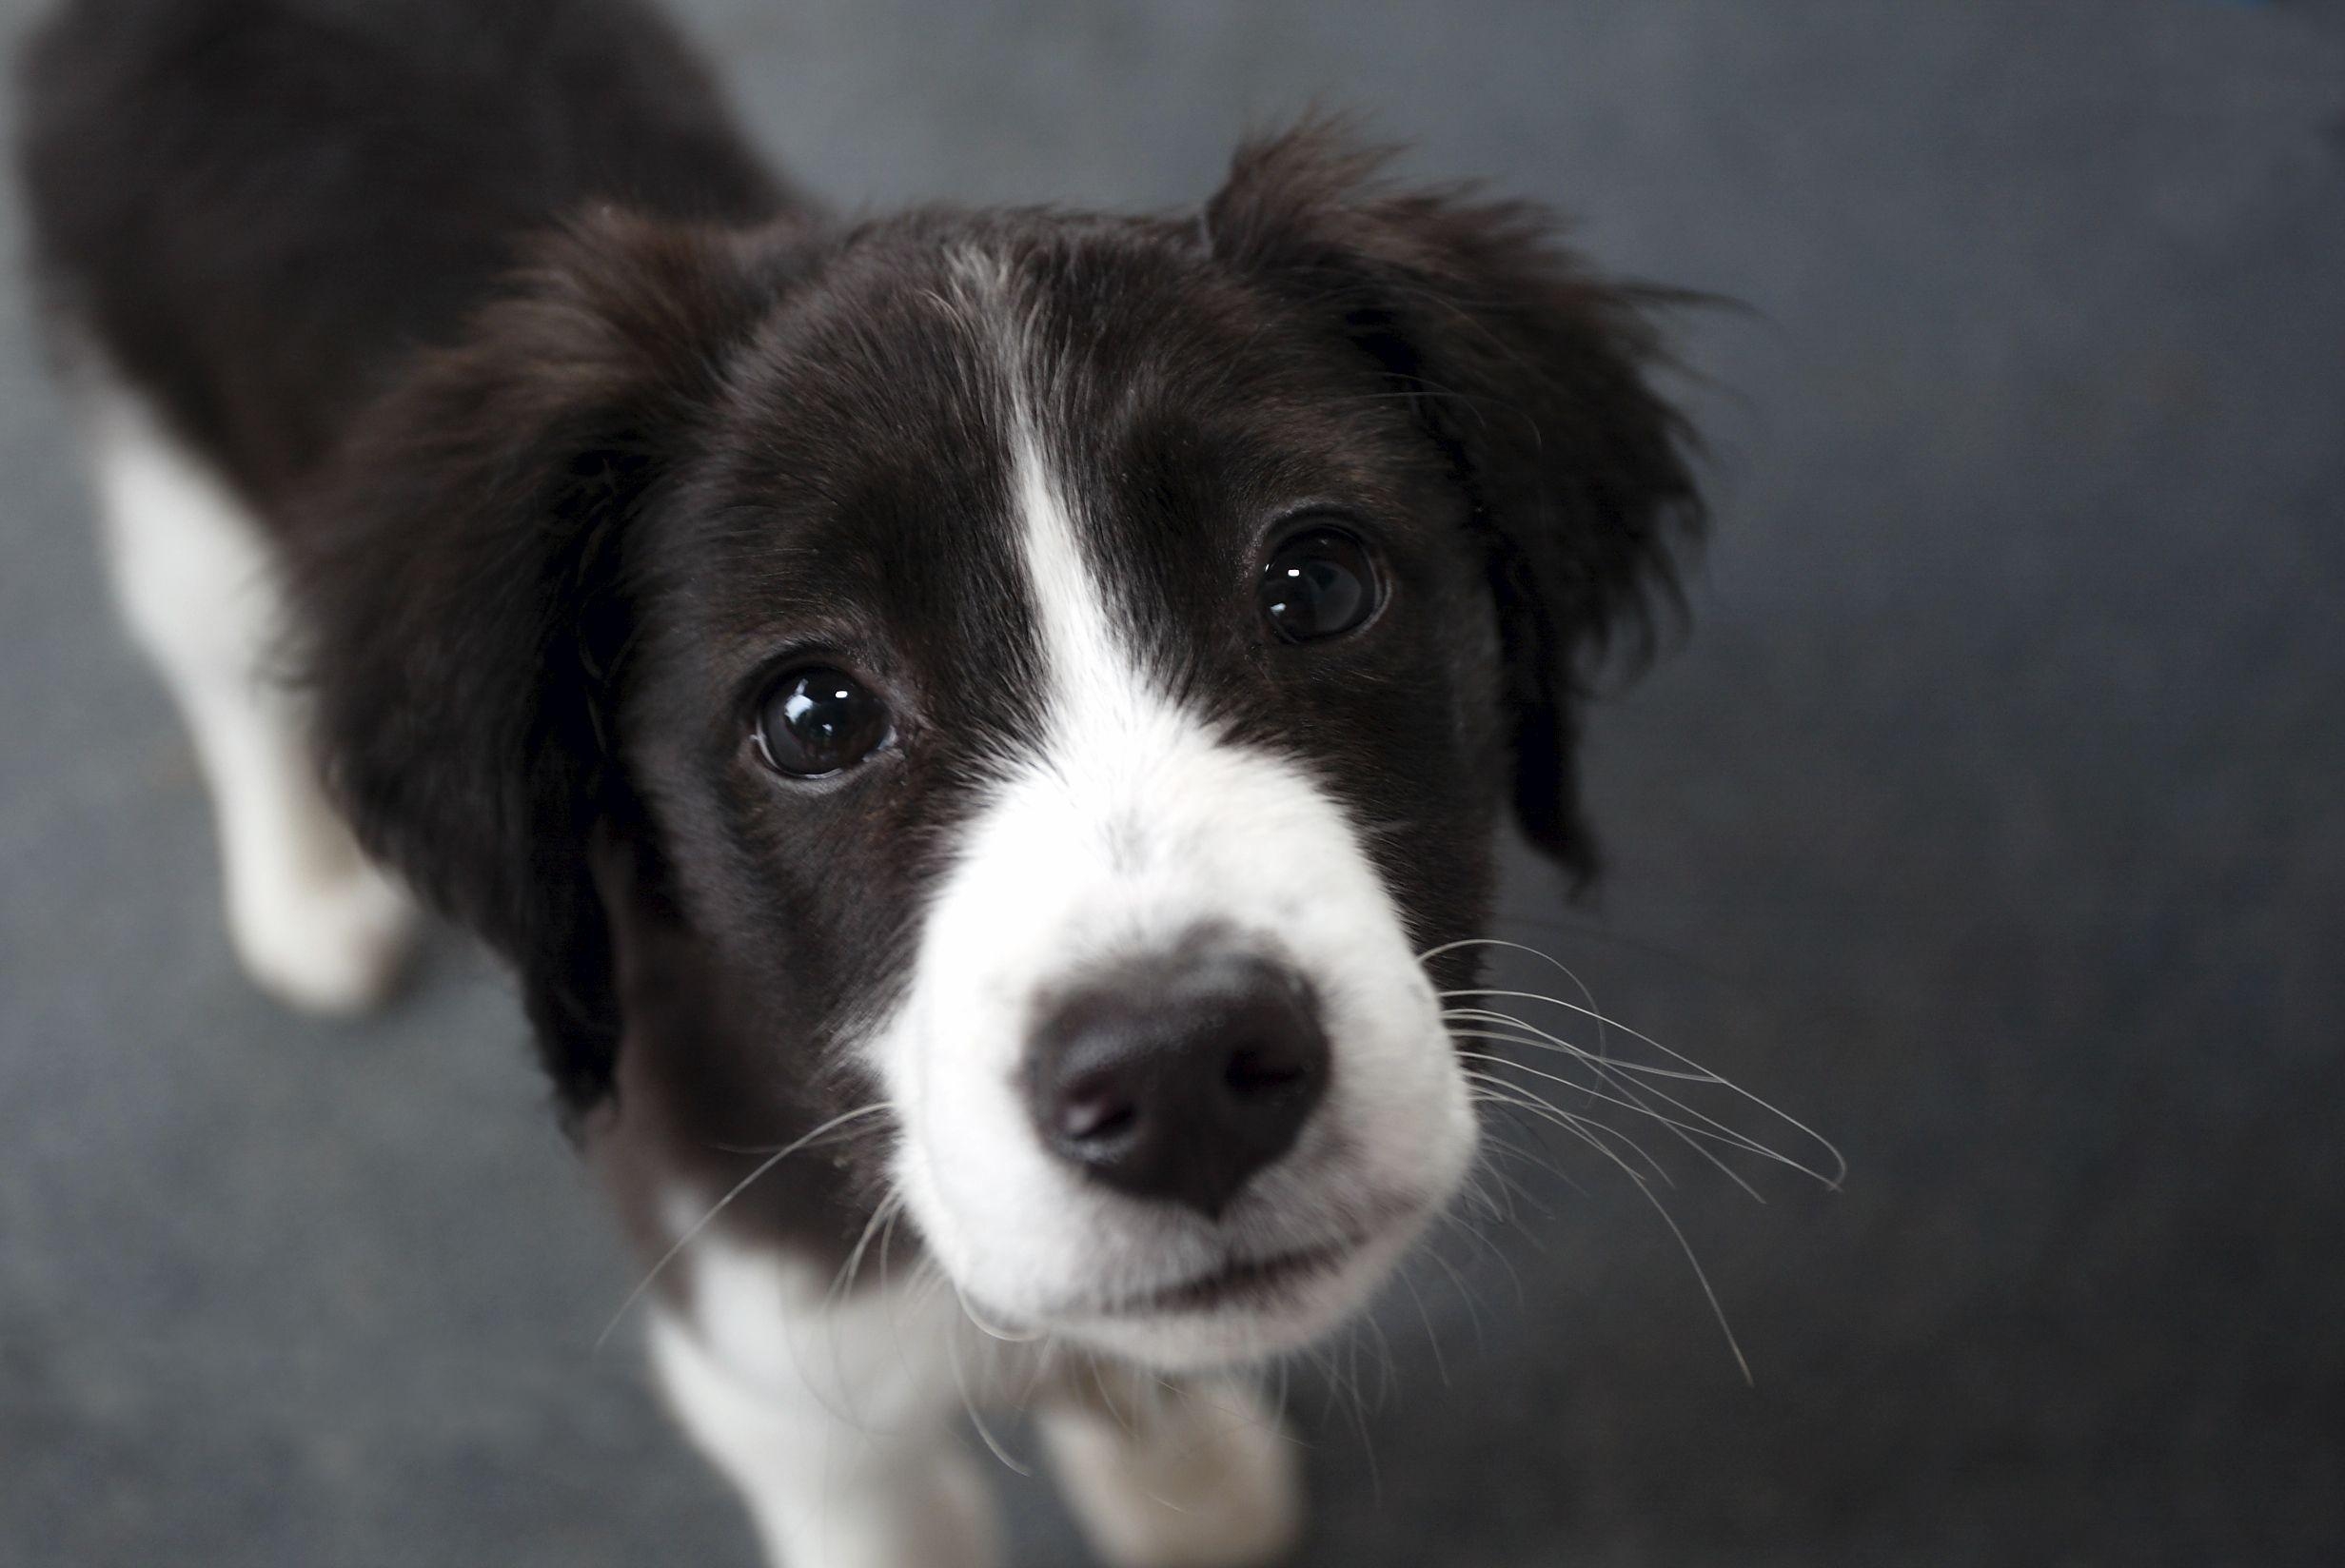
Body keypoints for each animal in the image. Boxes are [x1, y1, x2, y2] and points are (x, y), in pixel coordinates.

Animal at [18, 6, 1706, 1556]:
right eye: (817, 715)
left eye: (1319, 583)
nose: (1178, 1075)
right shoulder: (772, 1374)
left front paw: (1182, 1478)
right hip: (163, 452)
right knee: (219, 661)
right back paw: (306, 893)